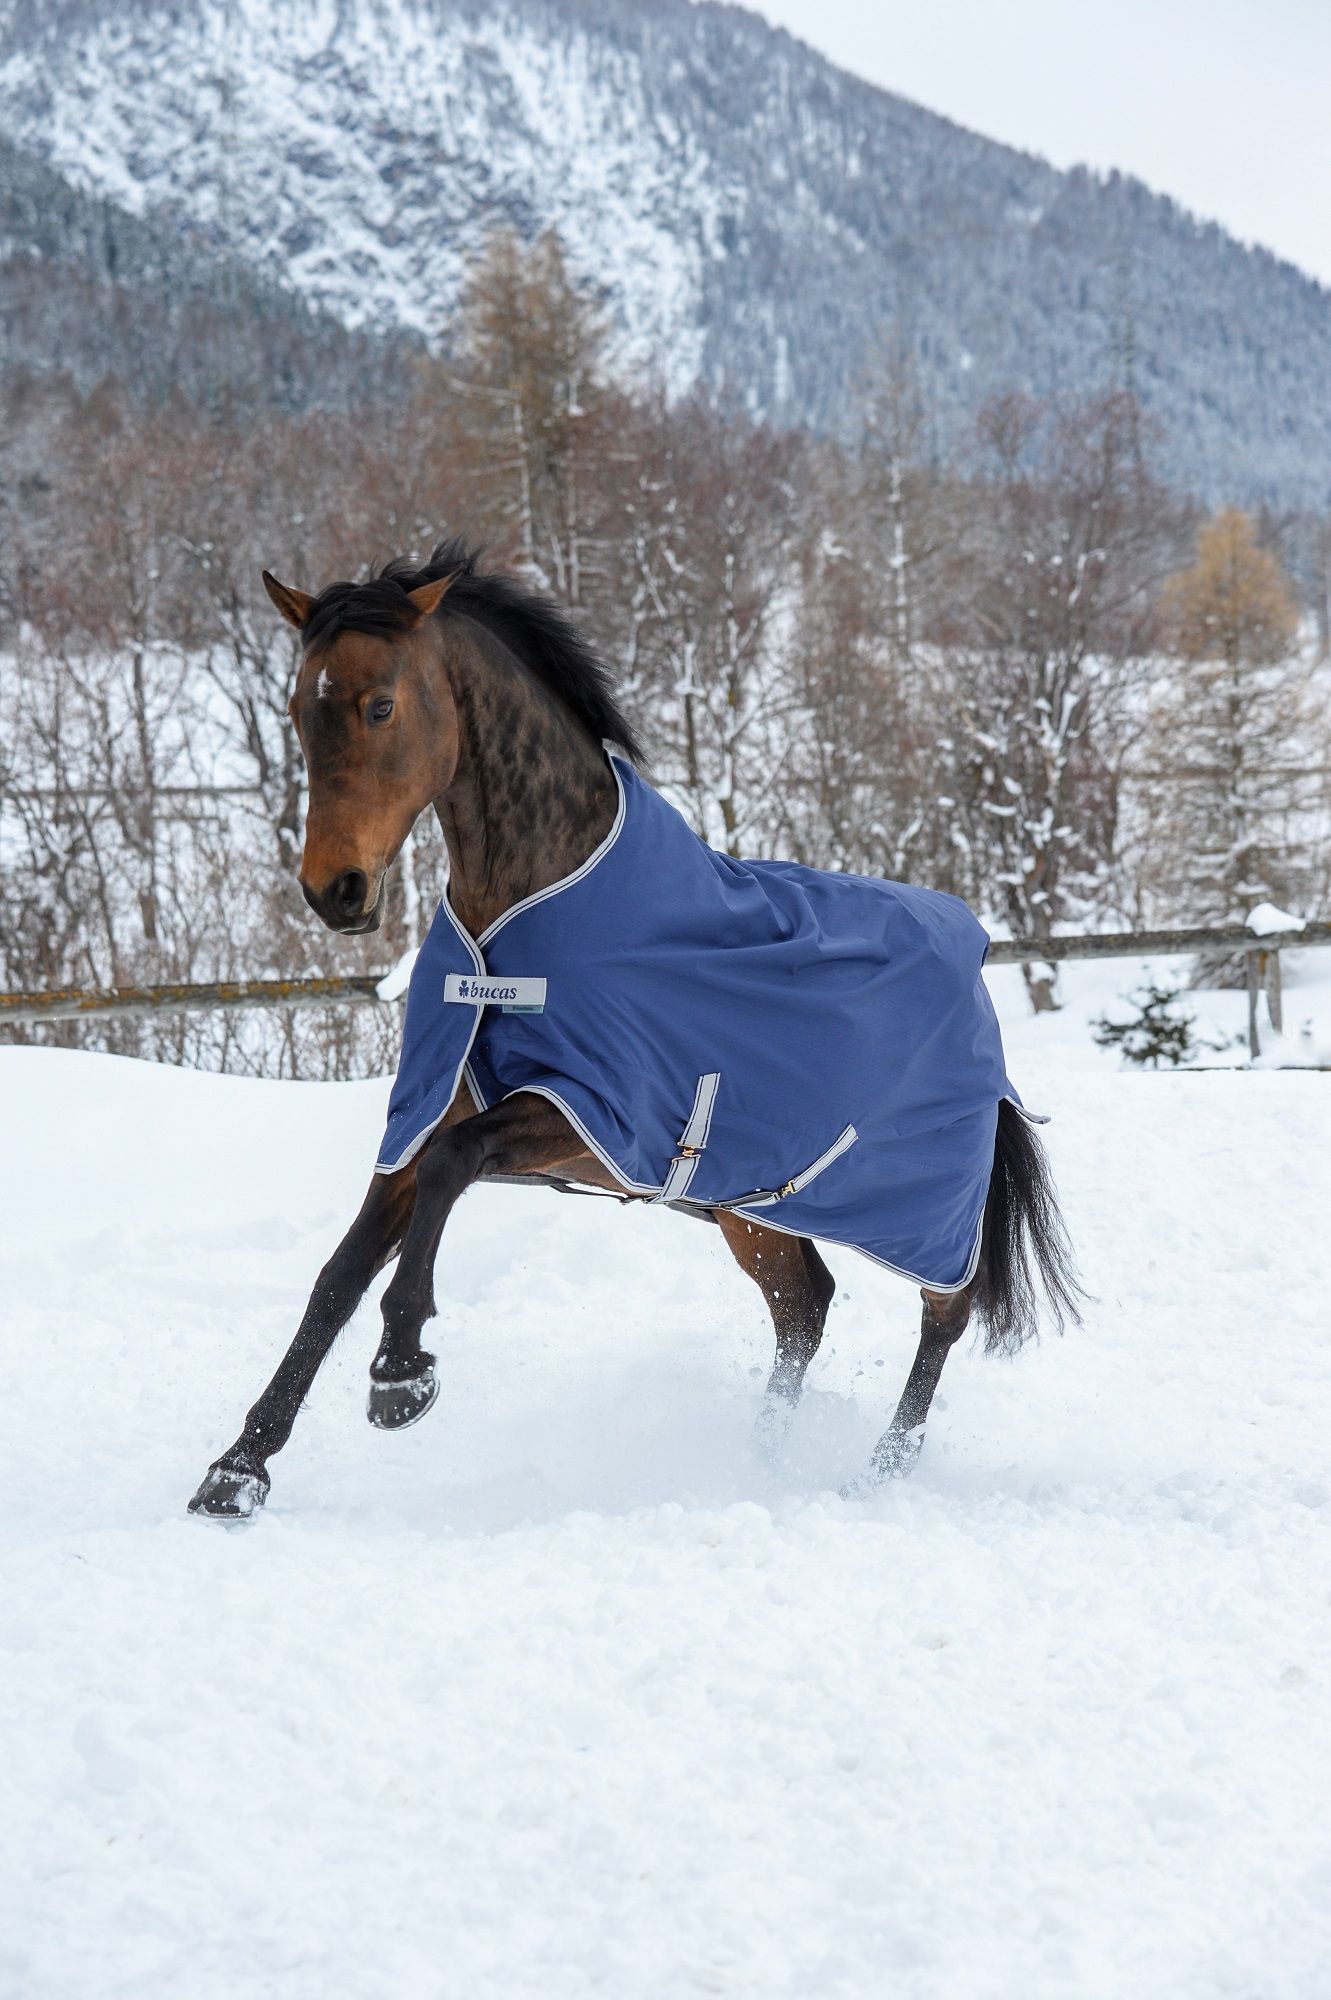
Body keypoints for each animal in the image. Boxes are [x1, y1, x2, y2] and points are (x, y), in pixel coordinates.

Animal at [188, 539, 1080, 1520]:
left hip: (924, 1207)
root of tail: (972, 951)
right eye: (297, 710)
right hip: (750, 1209)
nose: (334, 891)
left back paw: (878, 1471)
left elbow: (452, 1172)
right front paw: (238, 1470)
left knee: (942, 1316)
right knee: (803, 1307)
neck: (517, 926)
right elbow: (338, 1275)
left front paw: (400, 1373)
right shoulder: (427, 1118)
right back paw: (758, 1459)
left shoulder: (587, 1115)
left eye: (378, 703)